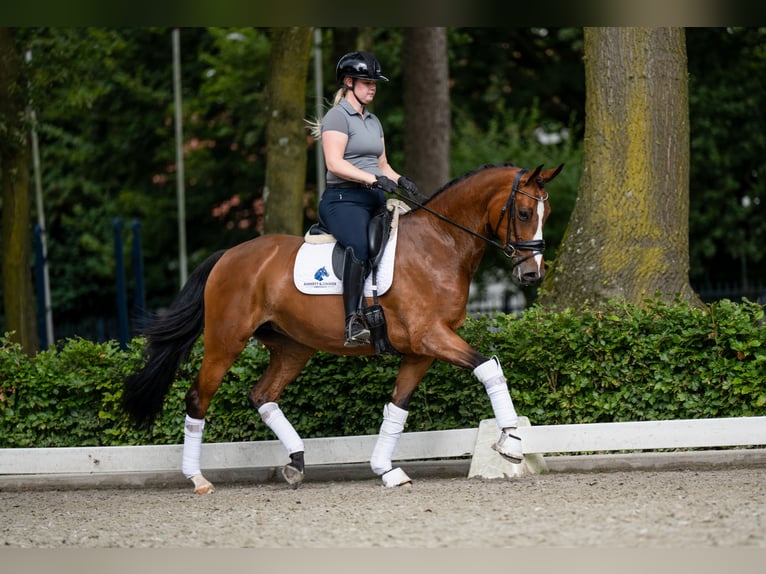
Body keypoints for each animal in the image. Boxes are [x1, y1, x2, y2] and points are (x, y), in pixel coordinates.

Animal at [121, 163, 564, 496]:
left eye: (547, 215)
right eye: (524, 214)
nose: (531, 275)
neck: (440, 244)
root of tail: (229, 255)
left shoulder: (421, 350)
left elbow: (397, 407)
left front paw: (386, 469)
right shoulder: (430, 337)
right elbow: (489, 367)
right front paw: (511, 442)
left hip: (293, 347)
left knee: (262, 394)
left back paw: (296, 463)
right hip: (224, 341)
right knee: (198, 398)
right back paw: (198, 478)